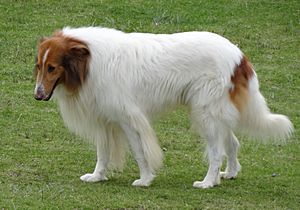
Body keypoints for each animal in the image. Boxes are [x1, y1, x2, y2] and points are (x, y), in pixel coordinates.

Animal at [33, 26, 292, 189]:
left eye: (52, 68)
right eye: (39, 66)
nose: (37, 95)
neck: (89, 62)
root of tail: (239, 56)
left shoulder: (128, 119)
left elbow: (140, 152)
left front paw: (145, 180)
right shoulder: (106, 121)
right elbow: (103, 154)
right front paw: (97, 177)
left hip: (205, 114)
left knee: (217, 151)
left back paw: (208, 182)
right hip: (216, 114)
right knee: (232, 143)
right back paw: (229, 173)